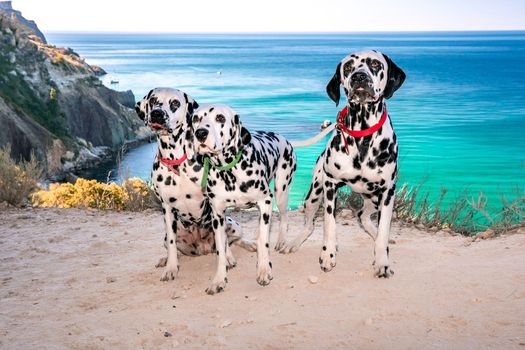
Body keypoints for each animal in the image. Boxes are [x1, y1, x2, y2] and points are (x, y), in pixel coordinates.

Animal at [134, 87, 255, 282]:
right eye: (153, 101)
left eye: (175, 103)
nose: (157, 114)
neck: (176, 161)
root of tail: (203, 249)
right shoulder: (166, 208)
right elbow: (172, 246)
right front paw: (170, 268)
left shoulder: (215, 205)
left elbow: (224, 241)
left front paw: (228, 259)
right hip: (169, 234)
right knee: (173, 247)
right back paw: (165, 259)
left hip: (234, 224)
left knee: (234, 239)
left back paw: (249, 245)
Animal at [192, 104, 296, 296]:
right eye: (195, 119)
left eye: (220, 118)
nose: (200, 133)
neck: (229, 172)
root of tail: (281, 137)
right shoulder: (217, 216)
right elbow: (220, 249)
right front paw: (219, 279)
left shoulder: (265, 201)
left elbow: (264, 241)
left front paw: (264, 269)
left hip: (281, 193)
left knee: (283, 218)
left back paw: (280, 241)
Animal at [278, 50, 406, 278]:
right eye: (348, 67)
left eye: (375, 64)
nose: (359, 77)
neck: (363, 136)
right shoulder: (330, 185)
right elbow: (330, 224)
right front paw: (328, 254)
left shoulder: (388, 192)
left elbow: (384, 229)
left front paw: (382, 260)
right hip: (314, 194)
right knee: (310, 225)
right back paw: (294, 243)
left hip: (374, 198)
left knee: (363, 216)